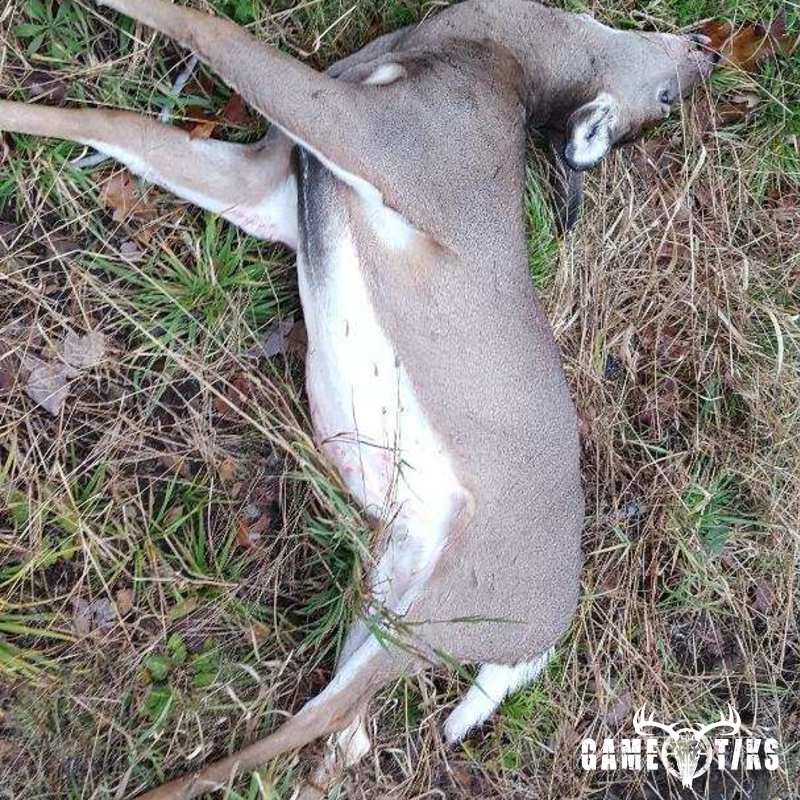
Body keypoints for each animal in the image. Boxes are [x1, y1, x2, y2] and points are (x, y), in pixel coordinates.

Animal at [0, 1, 718, 797]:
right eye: (668, 99)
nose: (708, 50)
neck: (483, 57)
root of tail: (547, 635)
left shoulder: (374, 139)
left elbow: (207, 30)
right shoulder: (275, 181)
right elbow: (116, 124)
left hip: (445, 615)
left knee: (317, 721)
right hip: (389, 587)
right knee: (348, 734)